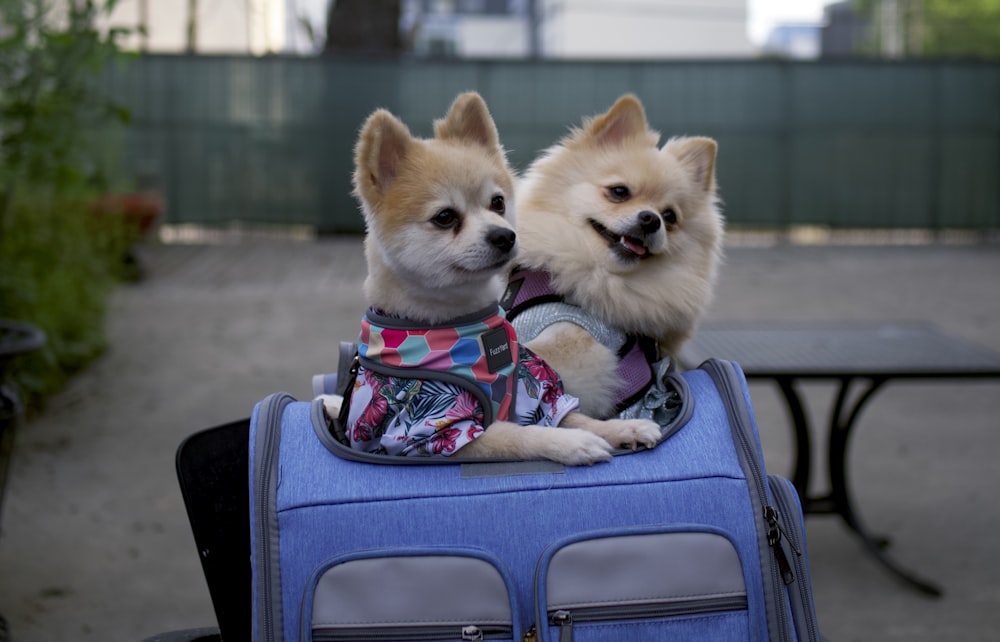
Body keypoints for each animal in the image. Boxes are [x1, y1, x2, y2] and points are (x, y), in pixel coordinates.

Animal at [322, 90, 664, 462]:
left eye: (498, 202)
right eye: (445, 217)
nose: (505, 236)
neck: (464, 325)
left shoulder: (532, 388)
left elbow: (574, 415)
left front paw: (623, 429)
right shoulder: (431, 432)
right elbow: (519, 435)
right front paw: (573, 444)